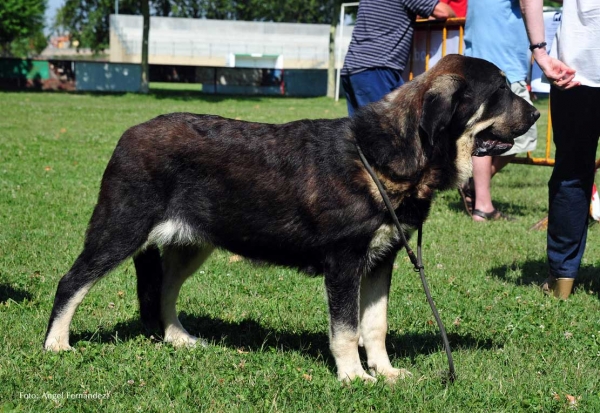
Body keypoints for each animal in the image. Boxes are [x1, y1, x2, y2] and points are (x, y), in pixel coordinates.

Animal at [42, 54, 540, 380]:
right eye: (500, 90)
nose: (537, 112)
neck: (385, 156)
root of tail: (127, 135)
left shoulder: (381, 260)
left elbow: (374, 326)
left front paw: (385, 372)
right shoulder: (344, 263)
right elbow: (346, 329)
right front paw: (353, 377)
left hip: (190, 244)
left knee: (163, 289)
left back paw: (178, 338)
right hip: (120, 229)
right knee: (72, 281)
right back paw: (56, 344)